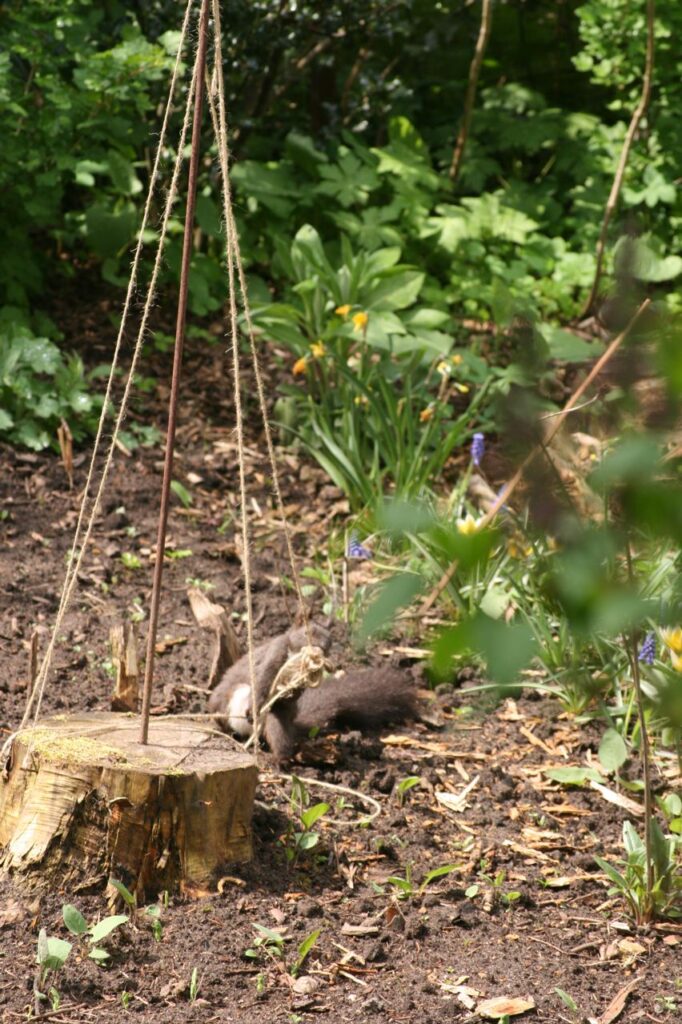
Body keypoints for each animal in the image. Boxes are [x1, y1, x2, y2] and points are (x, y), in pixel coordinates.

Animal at [207, 623, 416, 761]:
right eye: (310, 637)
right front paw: (253, 708)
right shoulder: (274, 653)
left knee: (280, 736)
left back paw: (276, 760)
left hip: (275, 722)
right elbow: (262, 681)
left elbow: (291, 696)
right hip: (225, 700)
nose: (320, 650)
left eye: (328, 647)